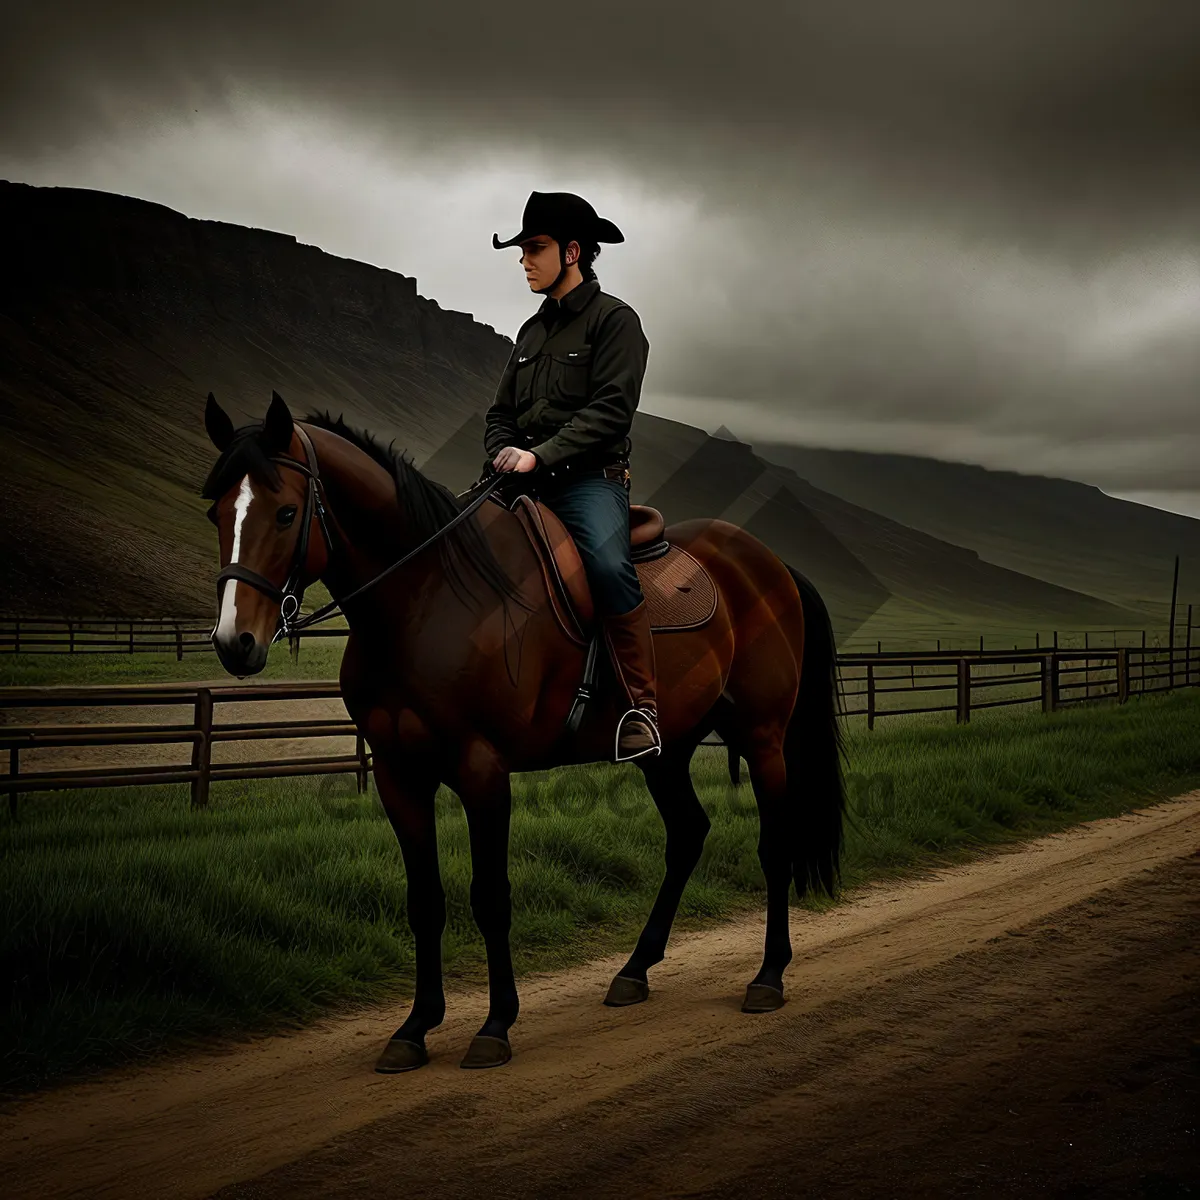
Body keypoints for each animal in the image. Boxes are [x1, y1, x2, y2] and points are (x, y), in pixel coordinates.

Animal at [201, 391, 849, 1070]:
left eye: (286, 512)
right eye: (217, 510)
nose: (234, 642)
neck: (426, 599)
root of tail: (770, 564)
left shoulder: (482, 768)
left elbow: (490, 897)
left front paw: (495, 1026)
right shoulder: (399, 774)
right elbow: (424, 901)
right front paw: (414, 1027)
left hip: (763, 736)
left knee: (774, 846)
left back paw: (768, 976)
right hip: (665, 750)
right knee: (687, 835)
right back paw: (634, 971)